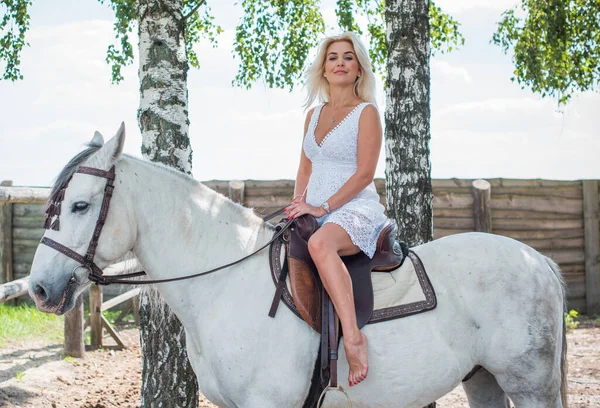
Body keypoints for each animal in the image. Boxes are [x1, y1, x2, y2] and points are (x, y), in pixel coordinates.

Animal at [29, 125, 568, 408]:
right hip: (483, 379)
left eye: (79, 205)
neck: (224, 286)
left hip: (530, 386)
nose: (38, 288)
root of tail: (537, 259)